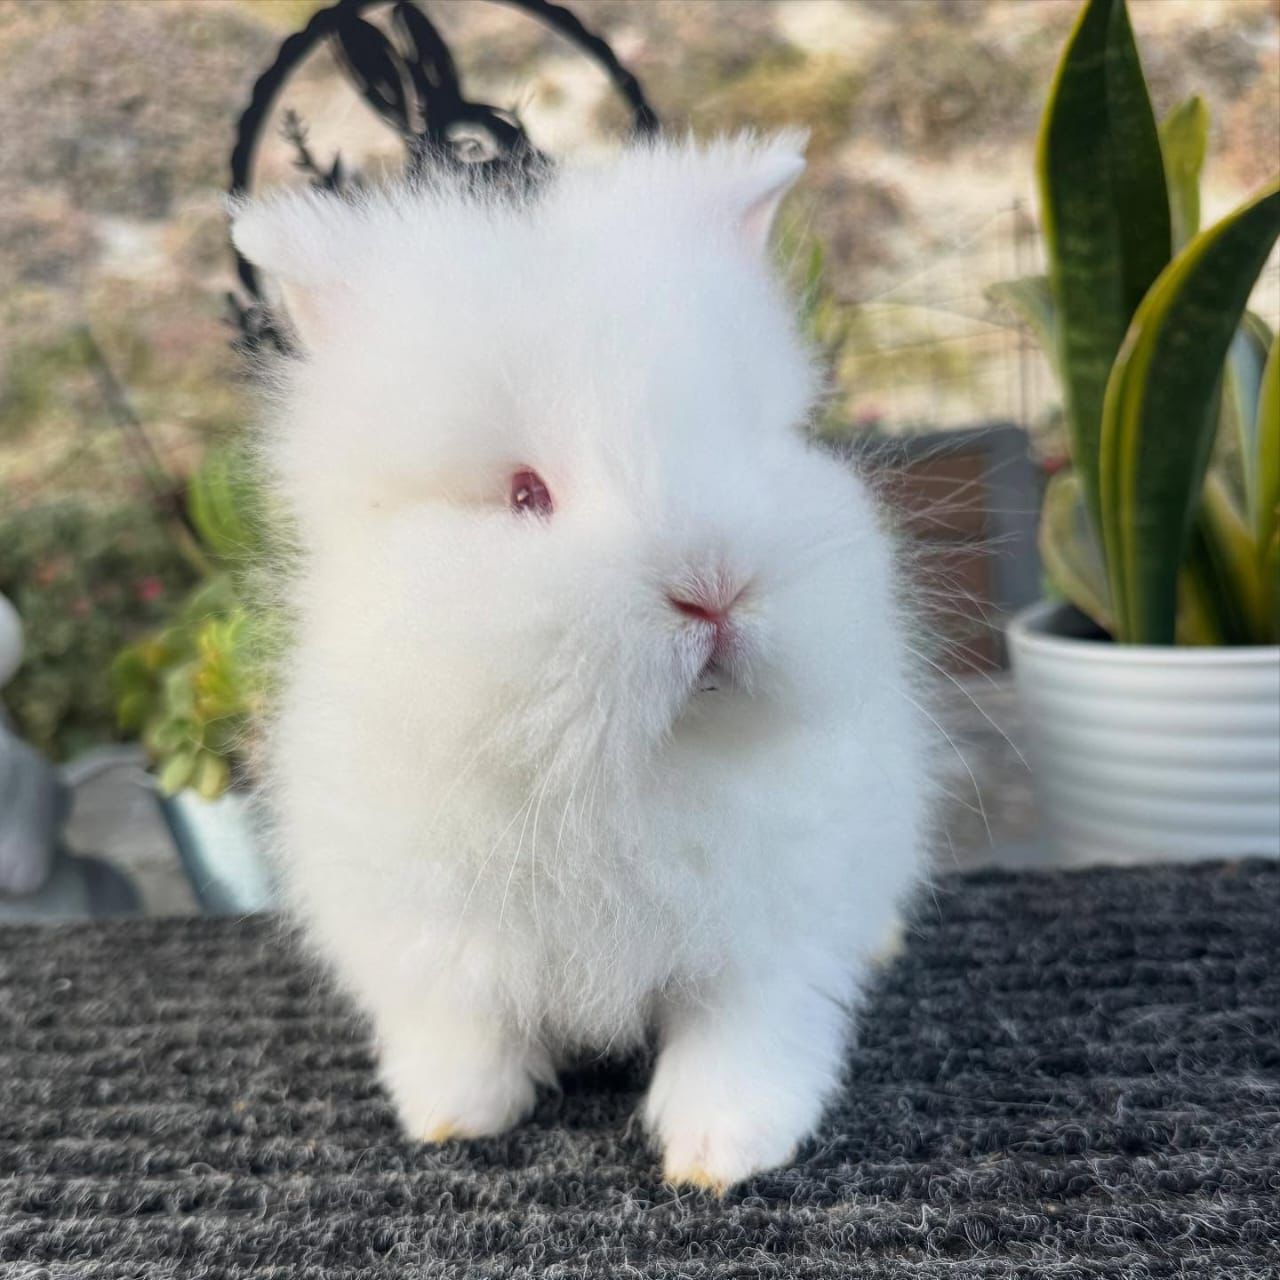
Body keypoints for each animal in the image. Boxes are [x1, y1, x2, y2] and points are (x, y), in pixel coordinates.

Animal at [230, 133, 934, 1193]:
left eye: (747, 444)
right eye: (526, 495)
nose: (713, 587)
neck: (622, 768)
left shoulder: (766, 939)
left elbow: (741, 1041)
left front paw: (724, 1152)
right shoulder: (433, 935)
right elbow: (464, 1029)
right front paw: (454, 1118)